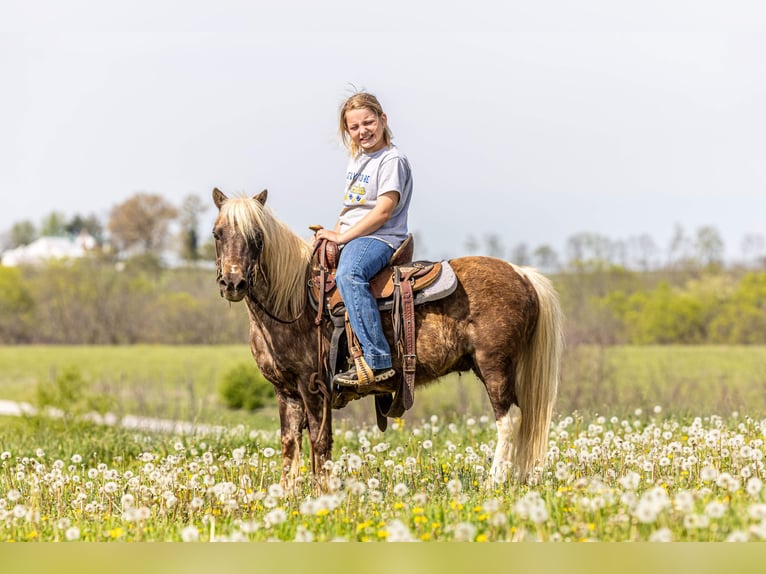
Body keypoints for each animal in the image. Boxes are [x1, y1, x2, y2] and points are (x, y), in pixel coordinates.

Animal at [211, 187, 564, 484]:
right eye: (218, 233)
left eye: (256, 236)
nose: (232, 283)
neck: (294, 301)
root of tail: (521, 274)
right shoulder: (285, 391)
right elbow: (289, 443)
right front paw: (287, 494)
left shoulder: (314, 388)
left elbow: (319, 442)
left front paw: (321, 492)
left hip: (495, 366)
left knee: (510, 419)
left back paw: (495, 482)